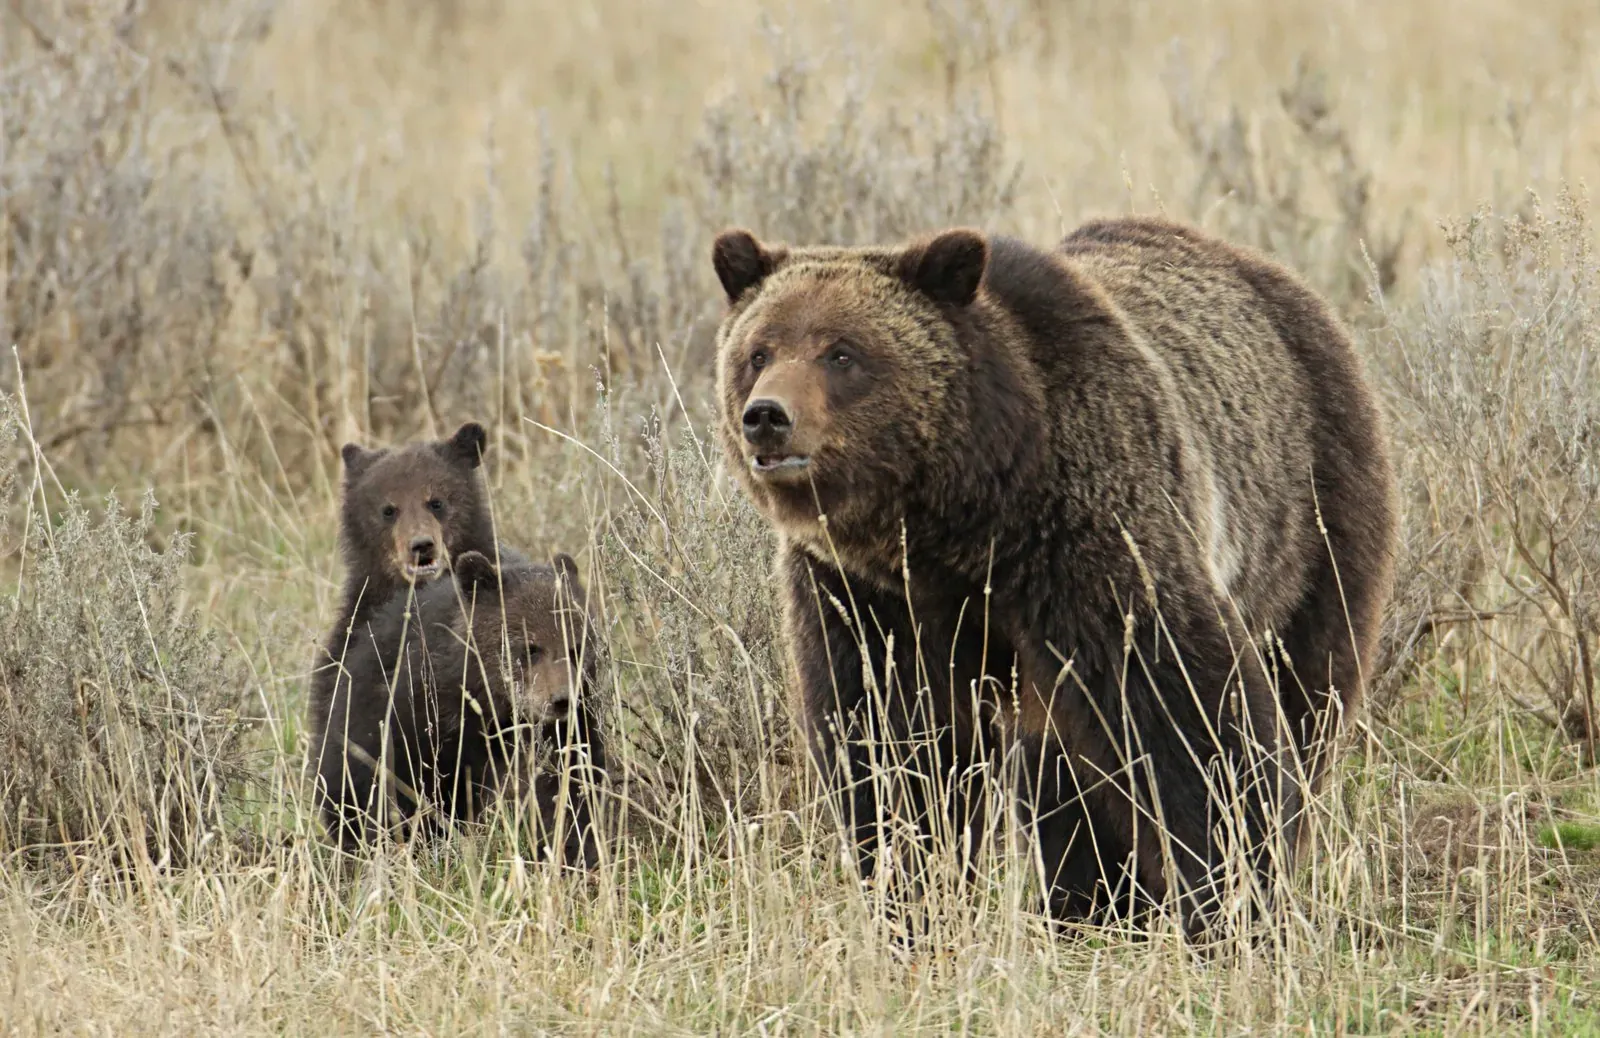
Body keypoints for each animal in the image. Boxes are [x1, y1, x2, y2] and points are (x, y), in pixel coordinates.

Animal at [309, 549, 609, 866]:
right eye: (530, 648)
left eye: (576, 647)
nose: (562, 699)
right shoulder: (418, 721)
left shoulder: (567, 734)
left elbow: (569, 789)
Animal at [709, 214, 1399, 937]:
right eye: (759, 351)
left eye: (842, 353)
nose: (767, 417)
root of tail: (1262, 269)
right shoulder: (862, 594)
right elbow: (888, 739)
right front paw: (912, 895)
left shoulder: (1088, 536)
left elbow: (1189, 709)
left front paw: (1235, 896)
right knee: (1062, 773)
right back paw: (1090, 901)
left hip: (1310, 515)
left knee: (1309, 687)